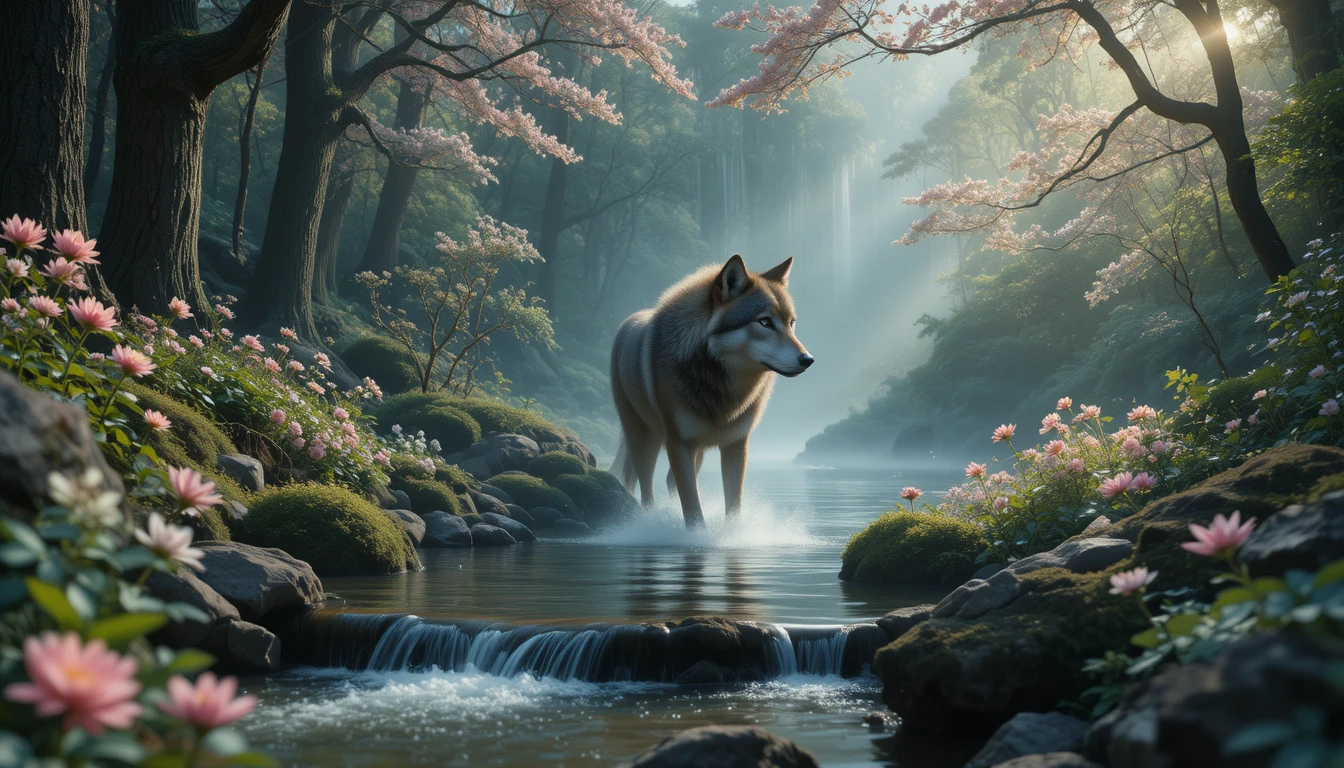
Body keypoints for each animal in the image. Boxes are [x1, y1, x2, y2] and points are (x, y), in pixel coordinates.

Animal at [610, 254, 813, 528]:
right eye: (765, 322)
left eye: (791, 324)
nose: (808, 359)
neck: (721, 388)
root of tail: (627, 321)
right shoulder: (678, 443)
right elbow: (692, 510)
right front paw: (697, 535)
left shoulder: (736, 444)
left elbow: (733, 505)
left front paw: (732, 535)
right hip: (644, 439)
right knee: (646, 487)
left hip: (697, 450)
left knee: (668, 481)